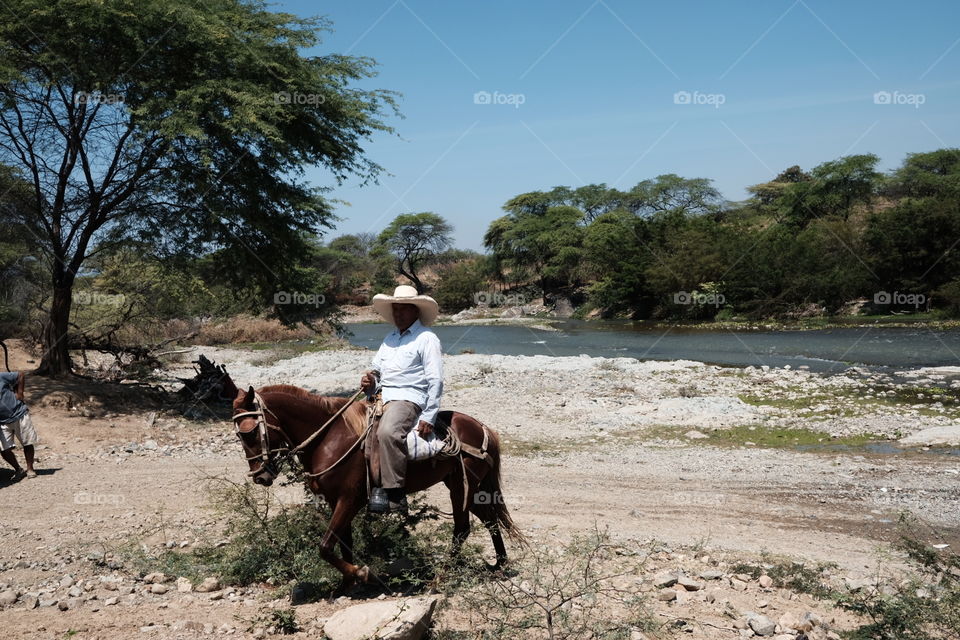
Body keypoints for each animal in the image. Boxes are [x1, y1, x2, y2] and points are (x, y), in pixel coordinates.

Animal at [232, 382, 520, 592]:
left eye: (248, 432)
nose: (259, 476)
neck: (329, 437)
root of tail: (482, 427)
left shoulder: (350, 499)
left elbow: (325, 546)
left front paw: (363, 574)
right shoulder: (336, 500)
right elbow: (344, 543)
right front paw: (345, 586)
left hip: (461, 487)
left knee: (462, 529)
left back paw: (440, 579)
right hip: (466, 488)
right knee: (490, 519)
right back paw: (499, 564)